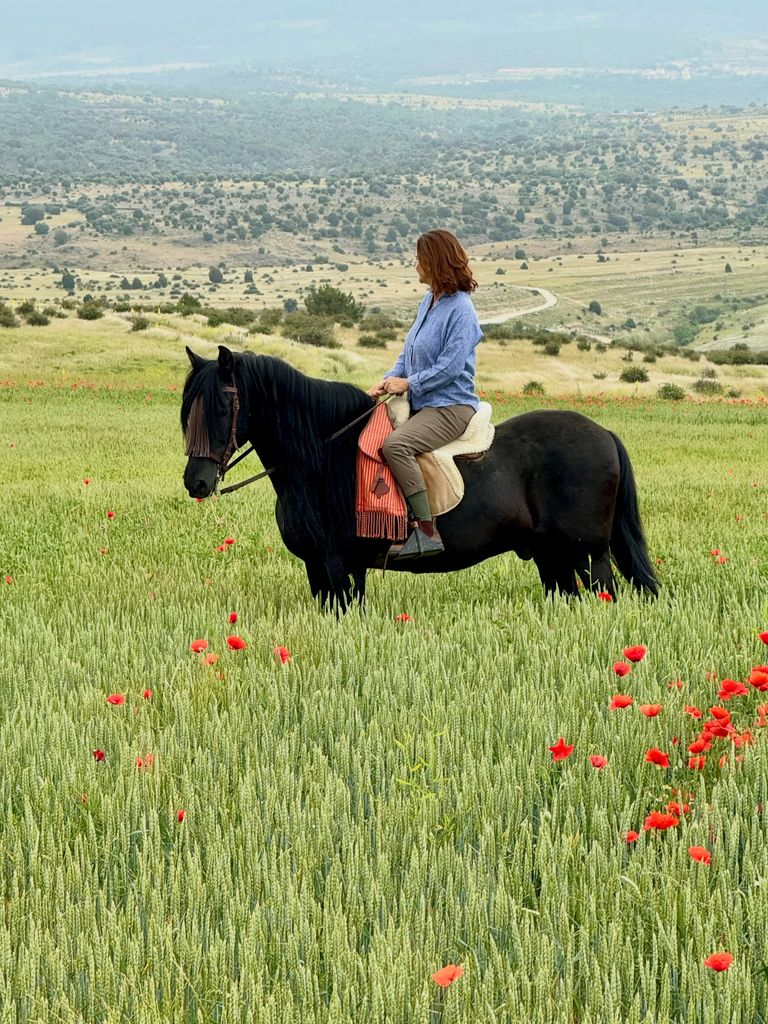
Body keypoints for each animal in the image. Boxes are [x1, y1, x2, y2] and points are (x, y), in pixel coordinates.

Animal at [181, 345, 658, 612]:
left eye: (222, 407)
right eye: (189, 411)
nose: (196, 483)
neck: (323, 458)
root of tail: (604, 433)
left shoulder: (338, 566)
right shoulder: (320, 568)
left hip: (588, 554)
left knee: (606, 593)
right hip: (551, 555)